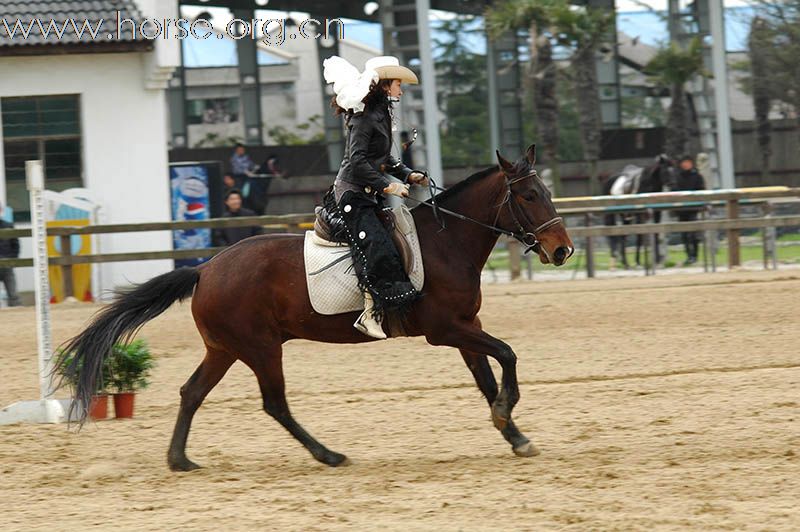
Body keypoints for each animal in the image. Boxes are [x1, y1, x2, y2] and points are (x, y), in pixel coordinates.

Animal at [54, 144, 576, 470]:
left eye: (548, 192)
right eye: (529, 195)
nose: (563, 251)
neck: (447, 244)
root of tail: (206, 269)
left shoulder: (467, 325)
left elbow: (487, 376)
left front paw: (514, 434)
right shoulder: (445, 329)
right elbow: (507, 354)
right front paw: (507, 416)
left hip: (225, 349)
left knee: (192, 392)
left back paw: (179, 459)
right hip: (261, 348)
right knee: (274, 403)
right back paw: (328, 455)